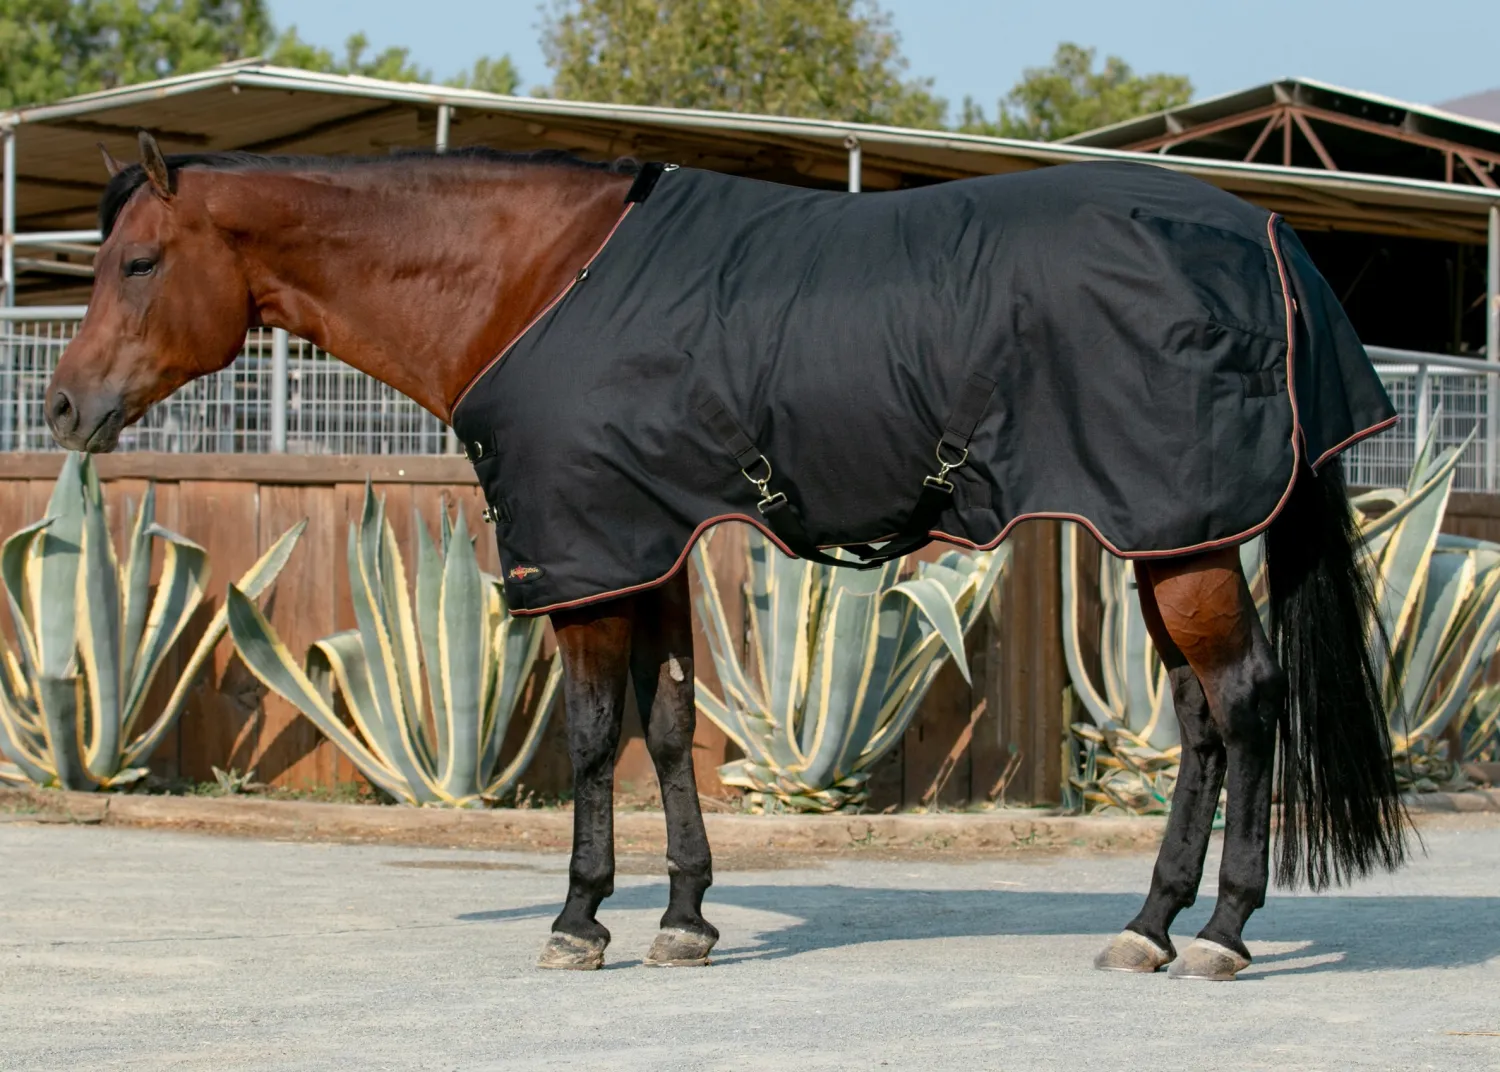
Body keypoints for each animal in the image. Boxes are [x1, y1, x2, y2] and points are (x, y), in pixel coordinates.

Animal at [45, 132, 1408, 981]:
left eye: (140, 261)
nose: (64, 408)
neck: (536, 278)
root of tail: (1270, 237)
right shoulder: (645, 544)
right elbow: (664, 728)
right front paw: (686, 919)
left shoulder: (587, 556)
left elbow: (592, 734)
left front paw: (579, 918)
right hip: (1163, 536)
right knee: (1202, 719)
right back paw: (1152, 923)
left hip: (1182, 542)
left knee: (1247, 702)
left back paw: (1221, 930)